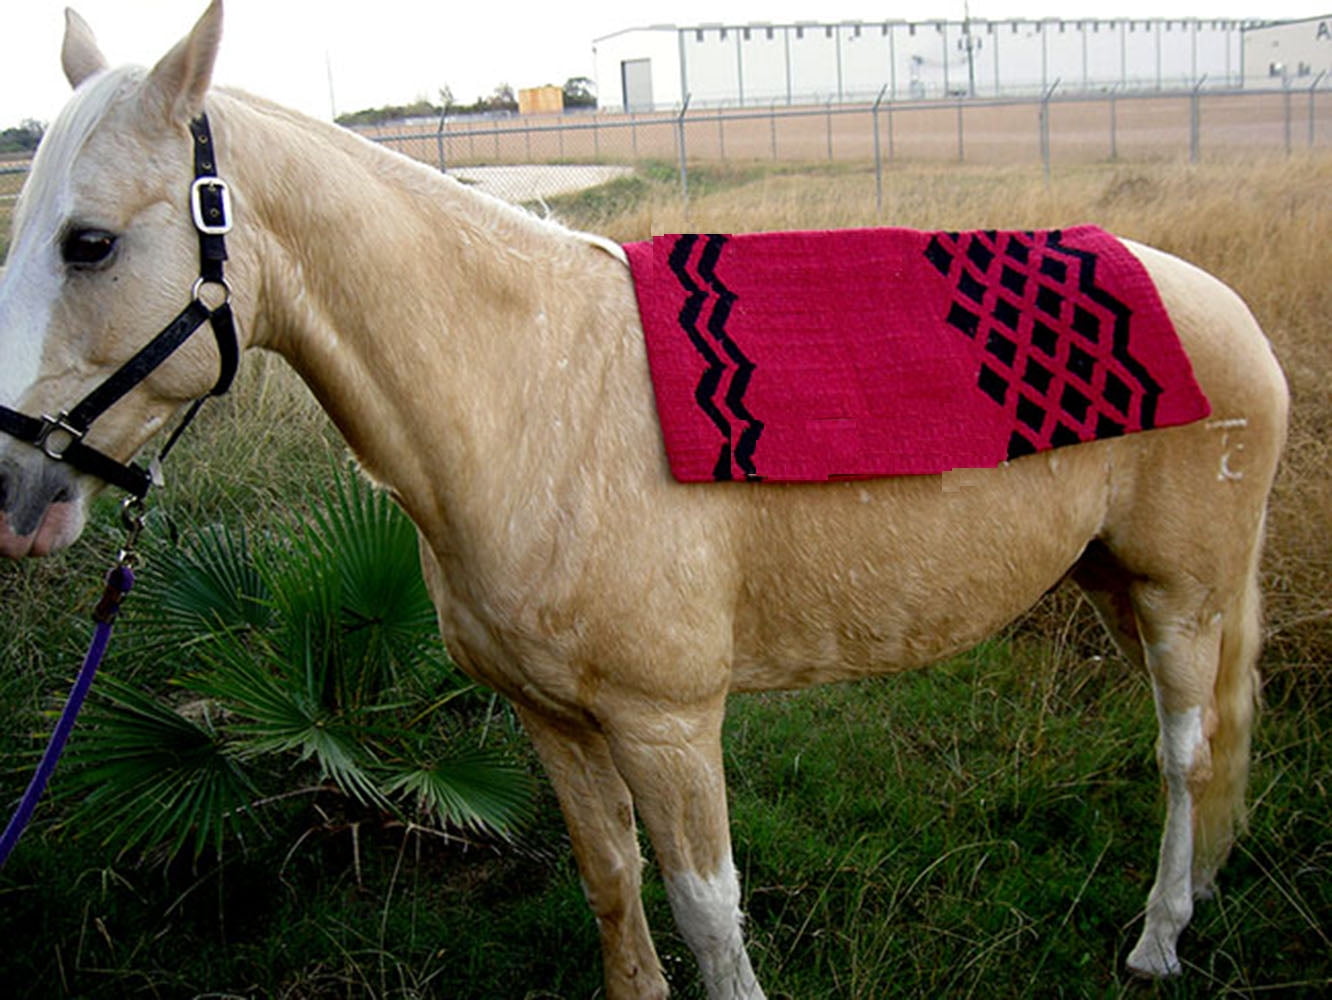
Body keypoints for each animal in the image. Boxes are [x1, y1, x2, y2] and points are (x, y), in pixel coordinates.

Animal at [0, 5, 1289, 997]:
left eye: (90, 243)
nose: (17, 494)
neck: (530, 398)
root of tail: (1224, 307)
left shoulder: (668, 725)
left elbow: (708, 912)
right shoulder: (554, 721)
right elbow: (613, 883)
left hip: (1183, 592)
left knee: (1185, 749)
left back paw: (1159, 937)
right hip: (1115, 581)